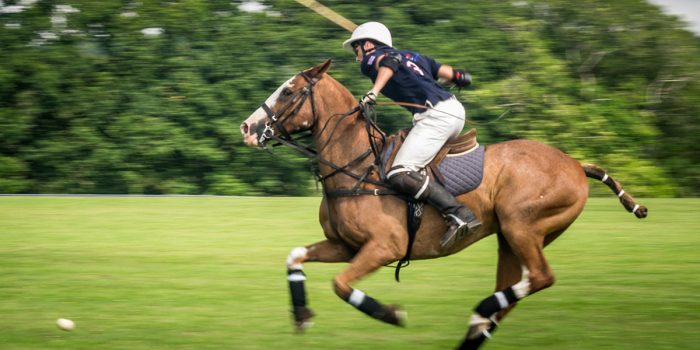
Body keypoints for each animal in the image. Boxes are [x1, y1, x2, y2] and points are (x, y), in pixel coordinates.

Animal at [241, 58, 652, 348]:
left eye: (288, 91)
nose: (247, 128)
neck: (357, 165)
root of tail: (575, 164)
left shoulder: (383, 246)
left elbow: (341, 285)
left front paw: (392, 315)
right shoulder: (345, 245)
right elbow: (295, 257)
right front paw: (301, 317)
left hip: (522, 226)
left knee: (539, 278)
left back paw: (479, 311)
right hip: (511, 239)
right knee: (515, 293)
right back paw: (478, 325)